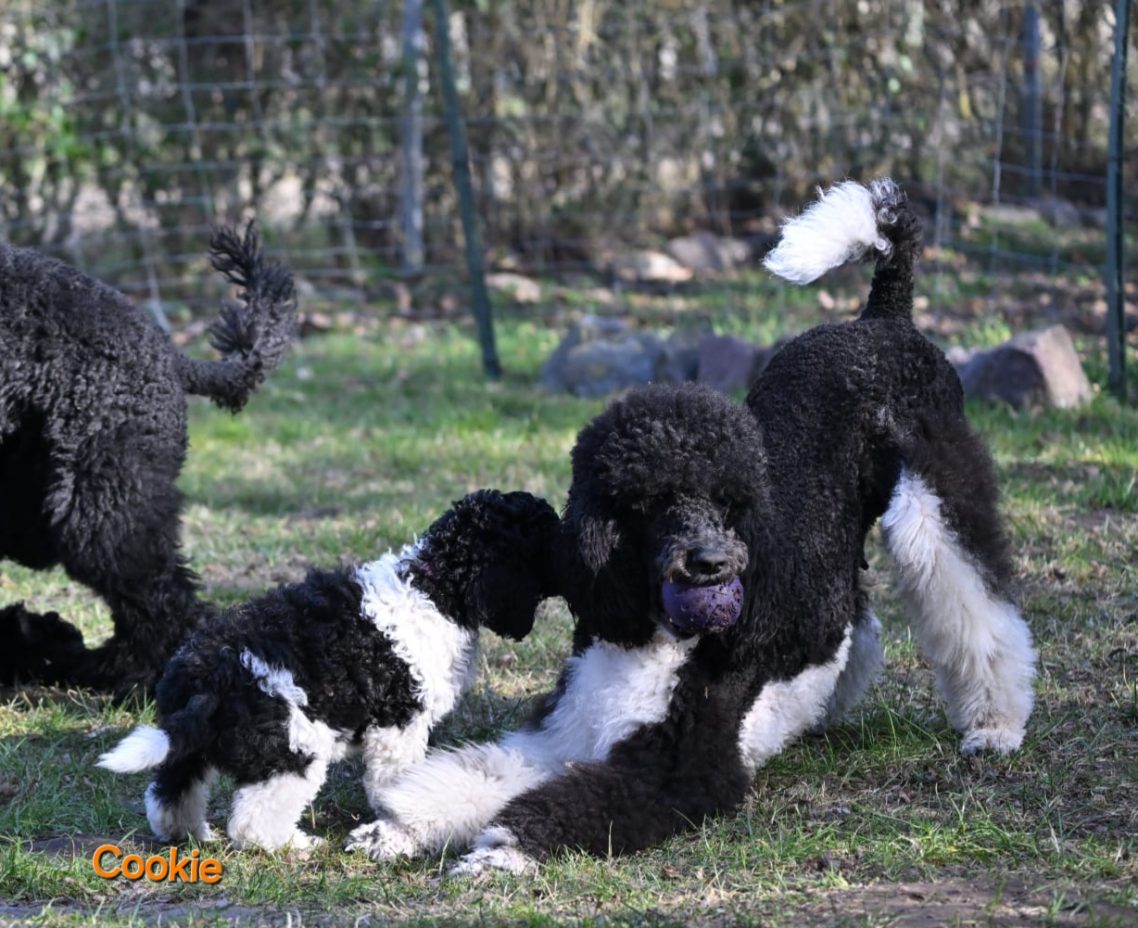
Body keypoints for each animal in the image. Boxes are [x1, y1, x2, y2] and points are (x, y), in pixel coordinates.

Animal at [97, 489, 559, 851]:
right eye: (546, 537)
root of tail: (209, 680)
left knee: (170, 791)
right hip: (294, 747)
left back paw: (187, 833)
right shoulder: (399, 725)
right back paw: (294, 845)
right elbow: (396, 777)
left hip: (192, 743)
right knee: (253, 821)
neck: (434, 586)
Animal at [346, 178, 1035, 873]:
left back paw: (994, 726)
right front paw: (397, 828)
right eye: (649, 503)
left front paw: (501, 849)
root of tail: (882, 317)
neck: (657, 635)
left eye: (729, 501)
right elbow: (477, 774)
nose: (710, 564)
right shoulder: (566, 732)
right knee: (855, 623)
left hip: (935, 500)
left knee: (977, 605)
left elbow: (572, 803)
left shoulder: (683, 766)